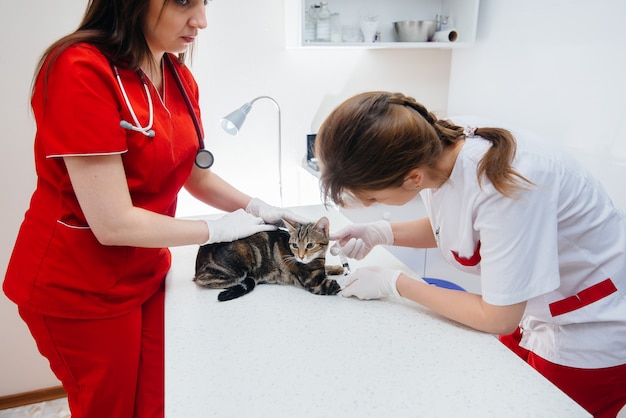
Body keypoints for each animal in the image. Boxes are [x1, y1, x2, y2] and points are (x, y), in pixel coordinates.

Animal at [193, 216, 344, 300]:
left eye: (310, 245)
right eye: (295, 245)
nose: (300, 257)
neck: (319, 258)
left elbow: (327, 268)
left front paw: (337, 268)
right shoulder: (316, 283)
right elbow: (339, 287)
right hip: (240, 263)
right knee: (206, 281)